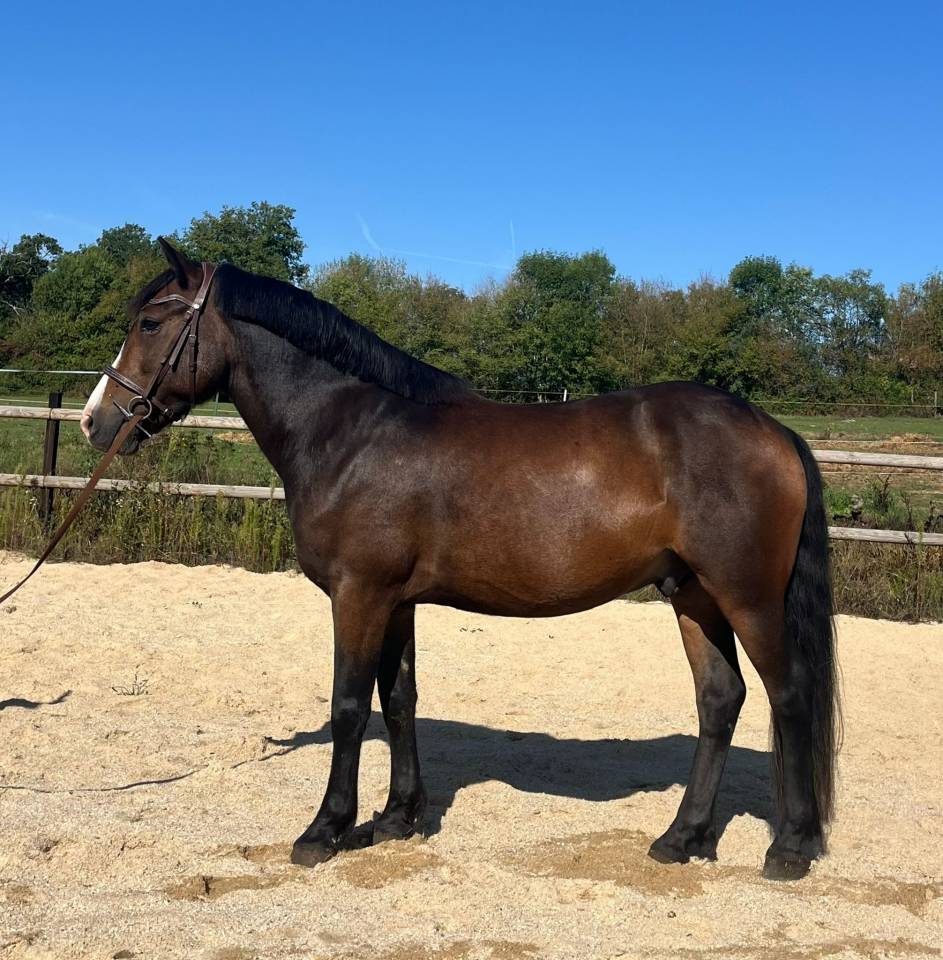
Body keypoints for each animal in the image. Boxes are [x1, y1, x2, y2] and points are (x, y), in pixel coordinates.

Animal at [80, 238, 840, 880]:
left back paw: (790, 847)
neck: (352, 431)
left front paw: (326, 829)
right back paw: (682, 838)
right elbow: (399, 700)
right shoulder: (396, 601)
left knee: (790, 695)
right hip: (693, 594)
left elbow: (350, 706)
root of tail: (772, 429)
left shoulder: (359, 594)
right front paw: (395, 819)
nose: (96, 420)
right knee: (720, 699)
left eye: (150, 322)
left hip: (747, 596)